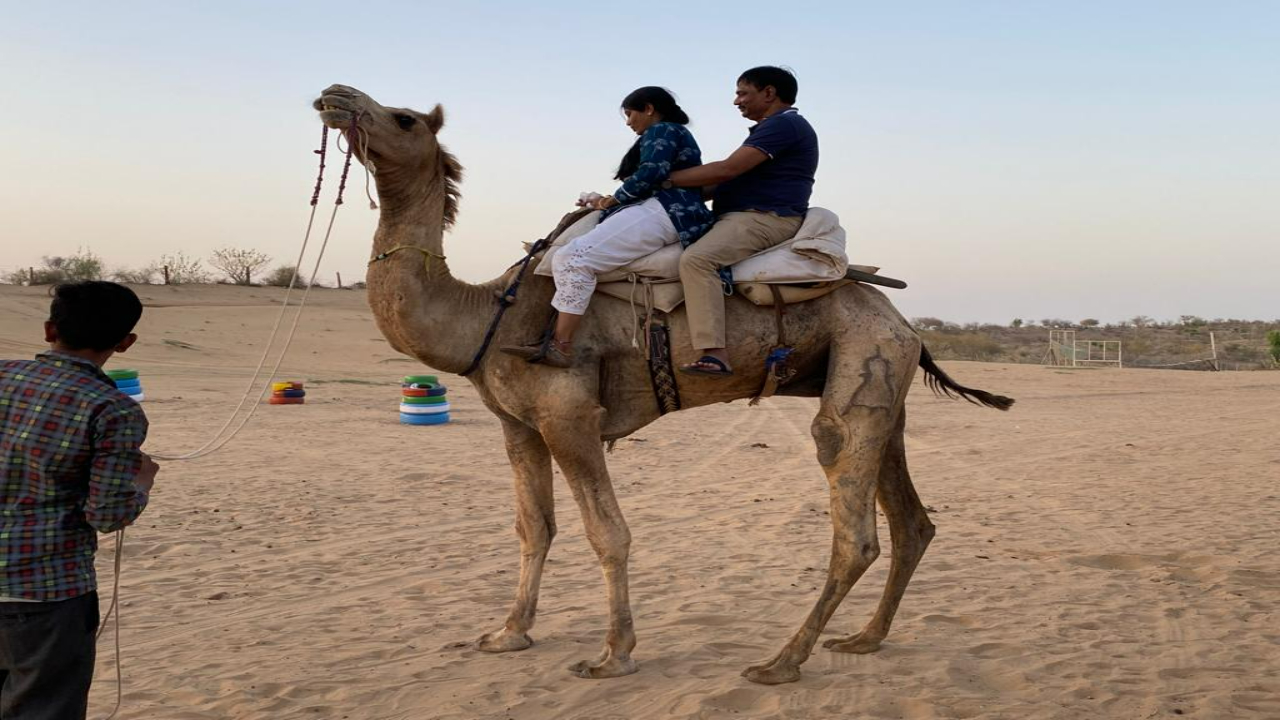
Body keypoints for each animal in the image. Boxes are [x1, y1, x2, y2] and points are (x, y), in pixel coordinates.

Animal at [313, 84, 1013, 685]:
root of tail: (904, 321)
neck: (489, 313)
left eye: (404, 118)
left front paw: (614, 655)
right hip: (883, 389)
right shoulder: (518, 426)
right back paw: (864, 639)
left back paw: (780, 662)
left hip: (864, 366)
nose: (334, 95)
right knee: (911, 522)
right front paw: (508, 634)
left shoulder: (570, 417)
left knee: (853, 522)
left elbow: (609, 533)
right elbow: (533, 527)